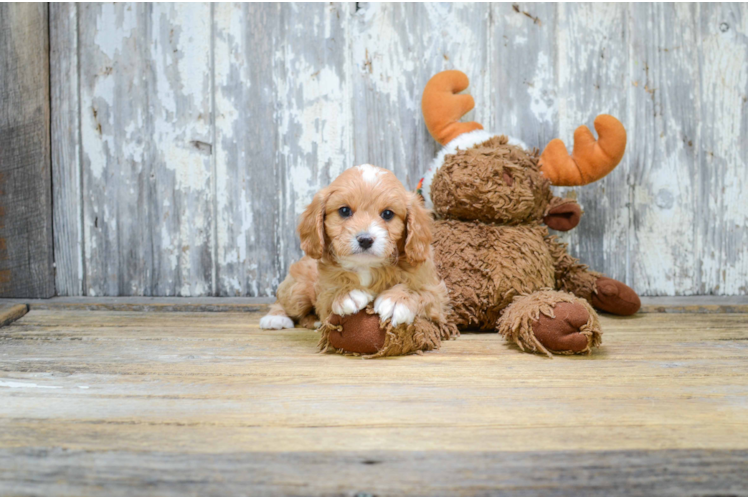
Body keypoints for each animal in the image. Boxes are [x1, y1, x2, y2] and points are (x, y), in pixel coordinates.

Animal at [262, 164, 450, 334]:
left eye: (388, 214)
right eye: (344, 211)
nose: (365, 240)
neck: (366, 266)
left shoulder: (437, 294)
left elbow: (421, 292)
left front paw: (397, 300)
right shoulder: (323, 293)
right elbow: (329, 296)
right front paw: (347, 293)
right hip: (298, 289)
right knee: (285, 301)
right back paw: (276, 317)